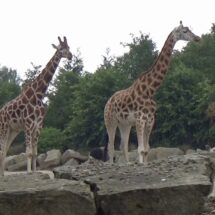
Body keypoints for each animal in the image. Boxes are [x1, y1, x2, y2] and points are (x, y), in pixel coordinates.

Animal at [0, 36, 72, 176]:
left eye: (69, 47)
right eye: (61, 48)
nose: (71, 56)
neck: (38, 96)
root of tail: (1, 111)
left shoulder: (38, 126)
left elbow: (35, 152)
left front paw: (34, 172)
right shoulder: (28, 125)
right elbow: (28, 152)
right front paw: (28, 172)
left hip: (13, 130)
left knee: (5, 150)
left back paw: (2, 174)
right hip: (4, 128)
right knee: (2, 149)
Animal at [104, 21, 200, 165]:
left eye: (189, 30)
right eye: (184, 31)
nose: (197, 38)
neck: (150, 90)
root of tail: (108, 102)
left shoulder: (150, 120)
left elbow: (146, 149)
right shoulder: (140, 119)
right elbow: (140, 149)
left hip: (125, 124)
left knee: (123, 145)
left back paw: (127, 164)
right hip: (110, 121)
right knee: (111, 146)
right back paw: (111, 164)